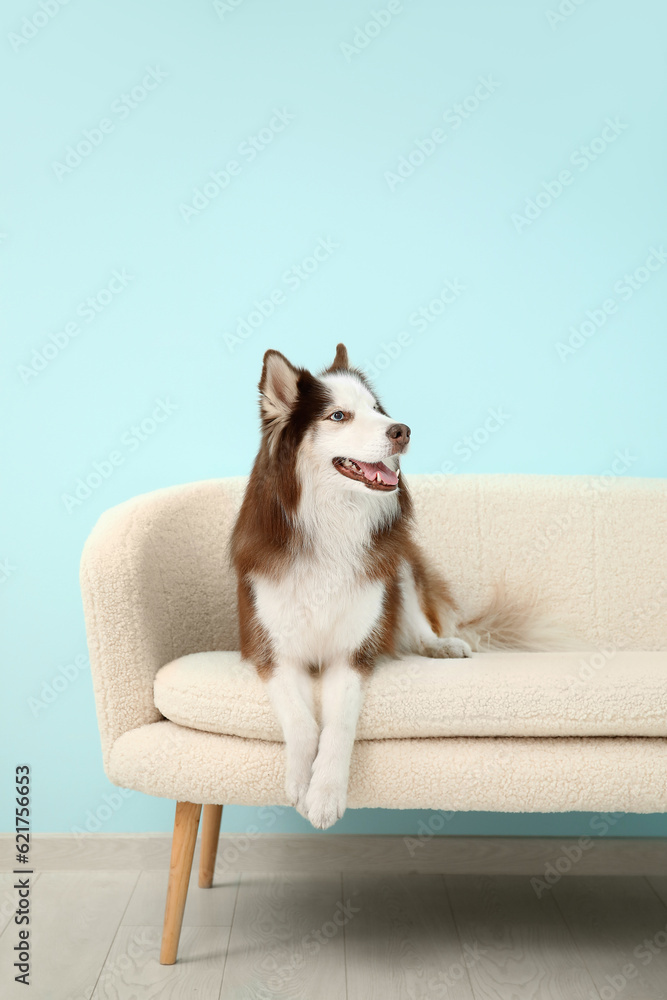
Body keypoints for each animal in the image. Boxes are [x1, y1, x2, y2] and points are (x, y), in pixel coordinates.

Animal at [232, 344, 556, 828]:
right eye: (338, 415)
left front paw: (325, 794)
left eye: (376, 410)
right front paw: (300, 783)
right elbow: (303, 723)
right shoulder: (273, 650)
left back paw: (442, 644)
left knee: (417, 623)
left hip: (398, 564)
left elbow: (338, 724)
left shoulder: (354, 653)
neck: (332, 525)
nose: (402, 430)